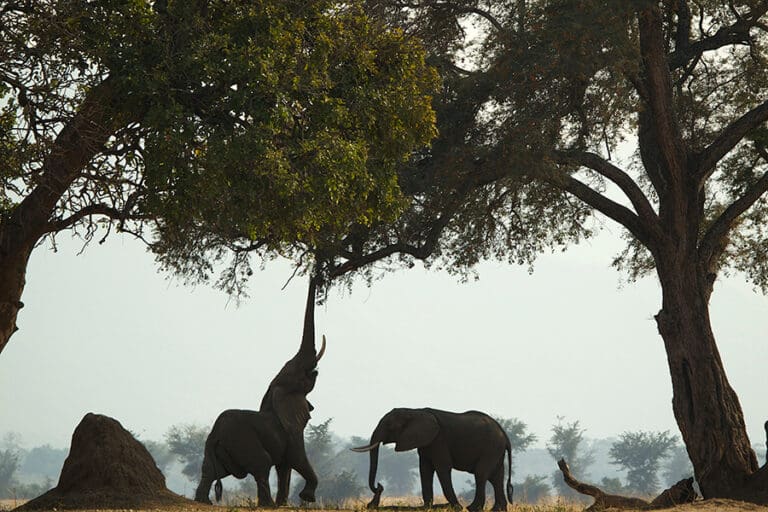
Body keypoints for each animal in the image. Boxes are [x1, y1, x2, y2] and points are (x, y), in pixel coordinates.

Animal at [195, 277, 326, 505]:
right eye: (298, 376)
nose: (315, 276)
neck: (274, 393)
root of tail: (216, 433)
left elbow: (285, 467)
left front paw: (285, 504)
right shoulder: (291, 429)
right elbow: (297, 458)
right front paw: (306, 498)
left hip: (216, 448)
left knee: (210, 470)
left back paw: (204, 502)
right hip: (244, 440)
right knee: (261, 465)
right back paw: (268, 505)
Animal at [352, 408, 514, 512]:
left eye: (390, 426)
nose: (379, 486)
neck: (414, 411)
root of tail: (505, 435)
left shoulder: (438, 440)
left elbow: (442, 467)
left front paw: (456, 507)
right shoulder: (425, 442)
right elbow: (425, 469)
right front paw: (427, 507)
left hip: (491, 447)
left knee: (481, 474)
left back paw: (472, 508)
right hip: (495, 450)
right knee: (496, 477)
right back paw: (497, 509)